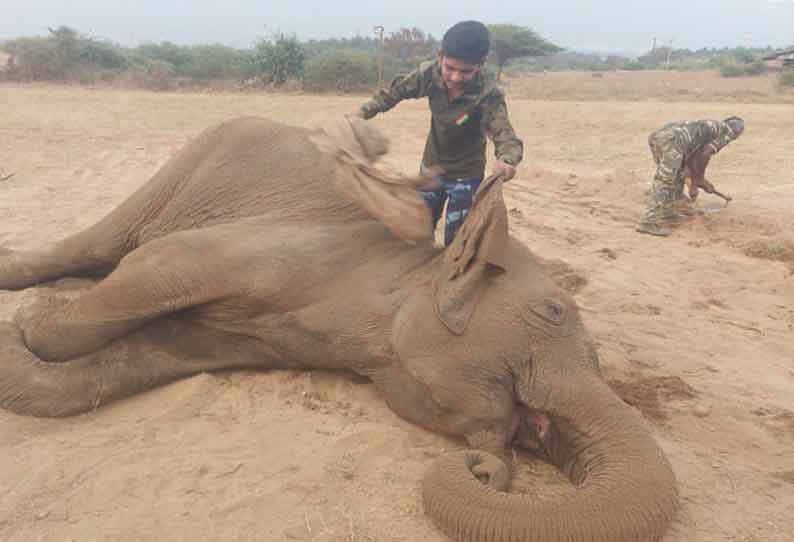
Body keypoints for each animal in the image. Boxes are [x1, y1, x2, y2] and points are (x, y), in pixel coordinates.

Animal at [1, 117, 676, 540]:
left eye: (534, 440)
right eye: (555, 311)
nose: (486, 468)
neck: (412, 273)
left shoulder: (265, 338)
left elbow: (146, 355)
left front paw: (31, 326)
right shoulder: (274, 253)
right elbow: (156, 269)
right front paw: (31, 316)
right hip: (192, 160)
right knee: (105, 243)